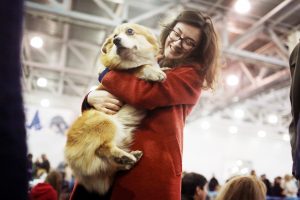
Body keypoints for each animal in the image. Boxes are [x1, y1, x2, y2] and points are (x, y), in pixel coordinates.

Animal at [64, 22, 166, 195]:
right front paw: (154, 72)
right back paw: (125, 156)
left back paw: (127, 159)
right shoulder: (125, 72)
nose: (117, 40)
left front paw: (161, 69)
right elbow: (139, 67)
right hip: (106, 121)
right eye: (113, 38)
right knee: (103, 148)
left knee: (109, 165)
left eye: (130, 31)